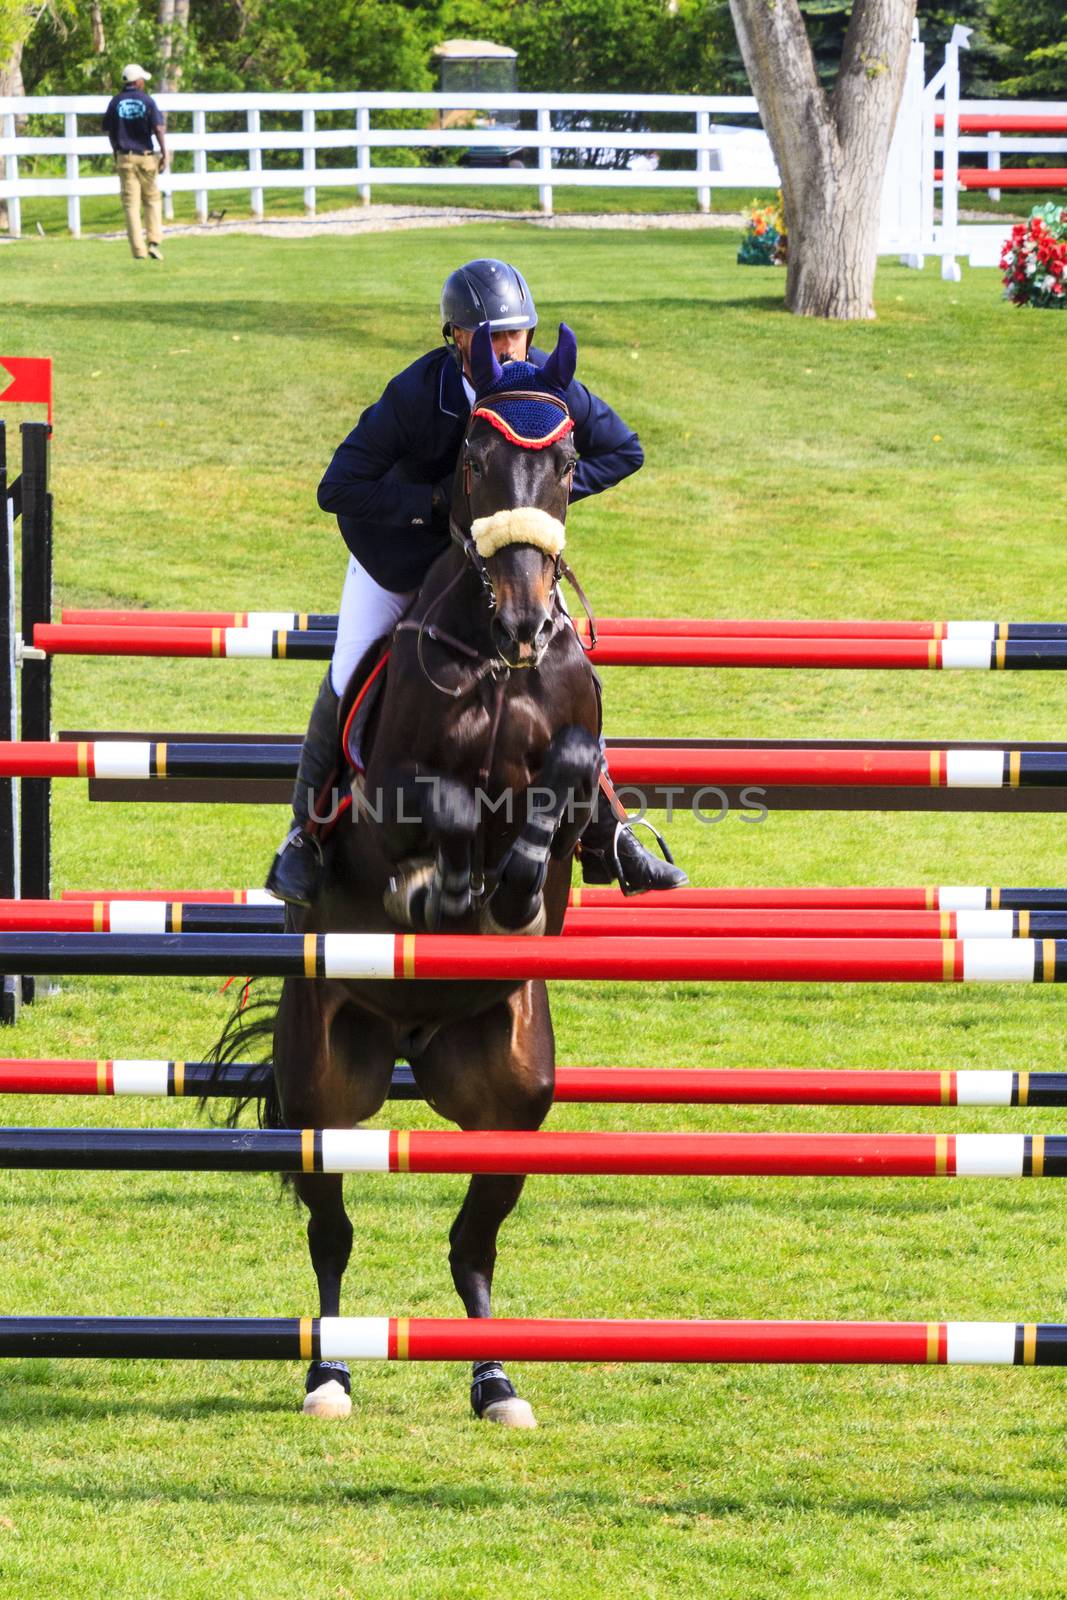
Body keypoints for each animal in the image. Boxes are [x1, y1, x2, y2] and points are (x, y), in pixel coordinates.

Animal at [212, 321, 604, 1427]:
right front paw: (456, 887)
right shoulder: (389, 796)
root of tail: (413, 1047)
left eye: (568, 463)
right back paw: (328, 1376)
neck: (494, 664)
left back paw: (496, 1382)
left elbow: (567, 773)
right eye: (469, 460)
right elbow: (445, 810)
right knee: (332, 1235)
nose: (524, 621)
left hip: (512, 1100)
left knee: (472, 1247)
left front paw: (516, 882)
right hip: (324, 1092)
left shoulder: (570, 759)